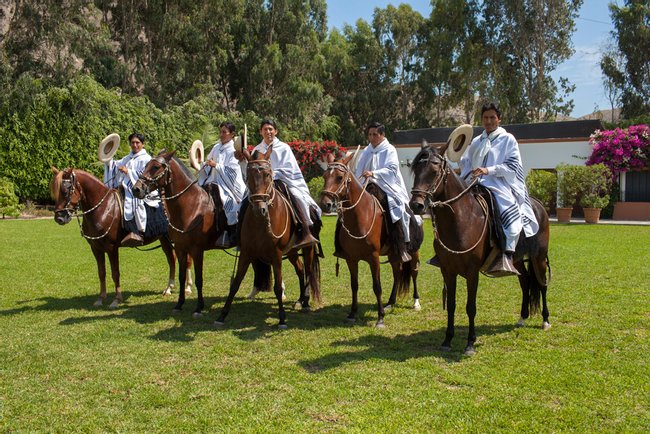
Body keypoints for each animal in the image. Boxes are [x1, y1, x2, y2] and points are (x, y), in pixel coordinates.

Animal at [50, 167, 190, 308]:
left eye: (66, 190)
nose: (59, 218)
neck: (104, 208)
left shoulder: (112, 248)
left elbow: (115, 273)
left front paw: (116, 299)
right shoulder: (96, 248)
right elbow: (101, 273)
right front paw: (101, 298)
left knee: (186, 260)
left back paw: (188, 288)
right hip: (164, 239)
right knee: (172, 259)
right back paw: (169, 288)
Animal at [133, 151, 270, 318]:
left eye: (156, 167)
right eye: (146, 165)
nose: (136, 189)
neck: (191, 207)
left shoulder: (197, 250)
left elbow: (199, 279)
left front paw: (199, 307)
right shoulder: (180, 248)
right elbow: (182, 276)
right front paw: (179, 304)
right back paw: (253, 293)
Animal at [213, 147, 322, 328]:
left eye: (268, 174)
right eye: (248, 176)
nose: (260, 209)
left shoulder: (275, 254)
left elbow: (278, 287)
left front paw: (282, 318)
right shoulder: (246, 253)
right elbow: (235, 284)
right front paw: (222, 316)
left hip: (307, 249)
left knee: (307, 271)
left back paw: (305, 302)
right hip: (291, 252)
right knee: (300, 270)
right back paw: (300, 300)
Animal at [318, 154, 420, 328]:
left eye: (339, 177)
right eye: (325, 176)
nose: (326, 204)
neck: (360, 217)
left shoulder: (373, 258)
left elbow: (377, 286)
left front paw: (380, 318)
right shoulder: (351, 259)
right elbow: (354, 285)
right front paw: (352, 313)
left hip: (414, 252)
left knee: (413, 272)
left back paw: (416, 302)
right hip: (394, 254)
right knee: (397, 272)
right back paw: (390, 302)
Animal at [408, 144, 548, 354]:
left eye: (434, 171)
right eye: (416, 170)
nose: (415, 205)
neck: (462, 219)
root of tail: (539, 205)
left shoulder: (472, 272)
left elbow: (470, 306)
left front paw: (470, 343)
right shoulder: (447, 271)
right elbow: (451, 305)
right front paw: (447, 340)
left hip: (539, 257)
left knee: (542, 284)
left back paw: (546, 320)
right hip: (516, 260)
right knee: (525, 282)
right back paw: (522, 318)